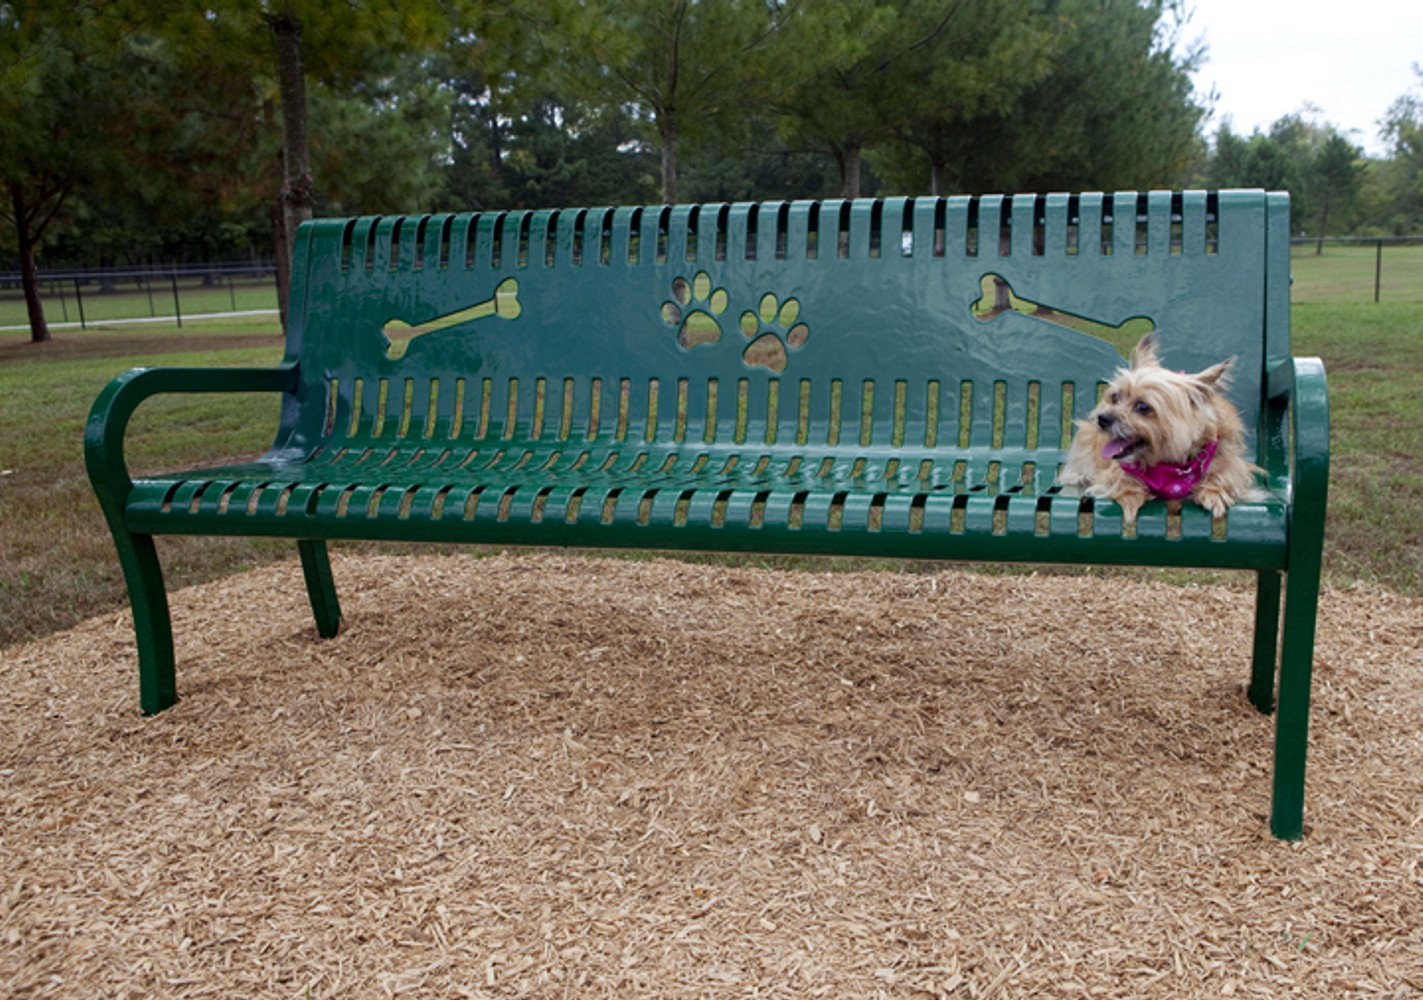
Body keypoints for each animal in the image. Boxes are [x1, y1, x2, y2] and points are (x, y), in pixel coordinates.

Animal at [1058, 335, 1269, 523]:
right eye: (1115, 397)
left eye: (1143, 407)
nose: (1101, 418)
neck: (1170, 465)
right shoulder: (1113, 471)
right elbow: (1122, 480)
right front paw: (1130, 497)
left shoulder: (1232, 464)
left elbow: (1226, 476)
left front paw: (1214, 492)